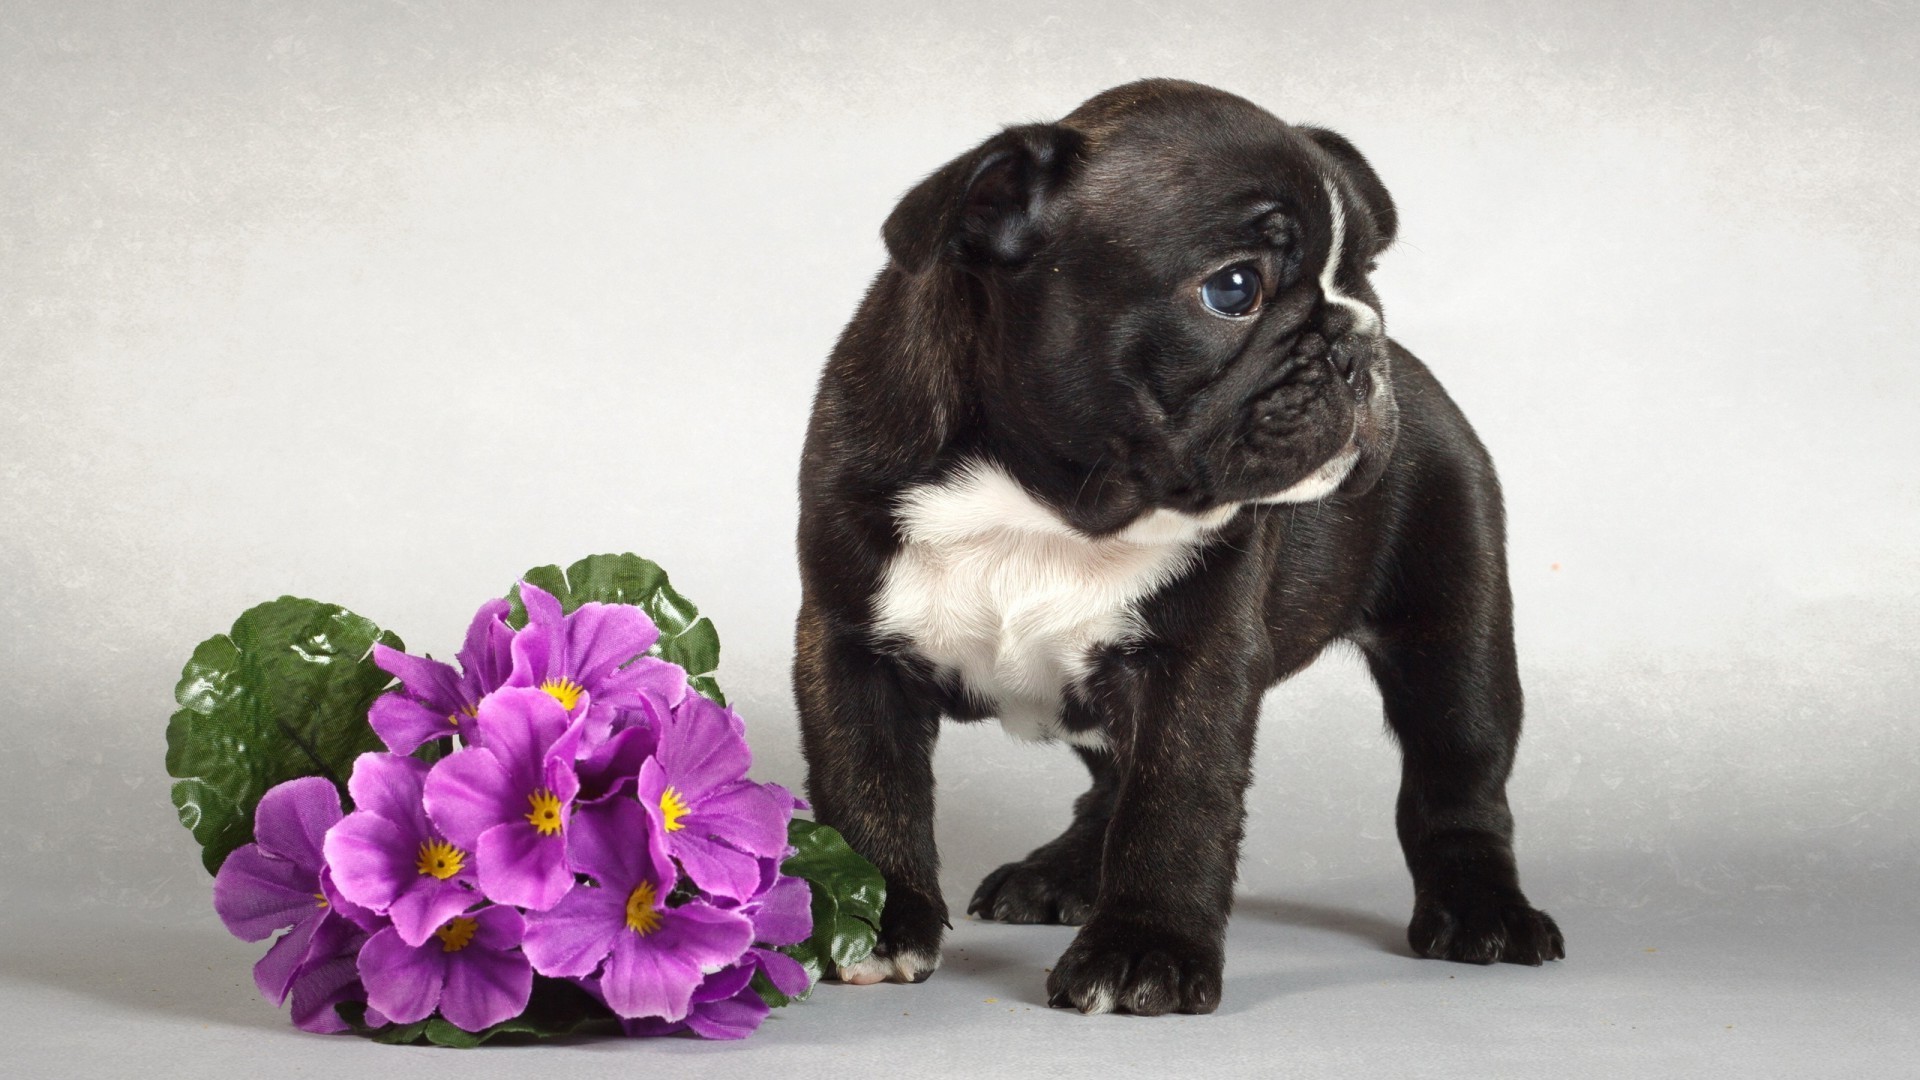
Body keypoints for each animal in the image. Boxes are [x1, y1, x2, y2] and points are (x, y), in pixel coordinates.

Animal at [791, 79, 1559, 1014]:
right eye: (1234, 288)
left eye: (1364, 276)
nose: (1358, 336)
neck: (1050, 506)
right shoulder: (850, 645)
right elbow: (867, 790)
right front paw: (872, 919)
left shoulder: (1195, 666)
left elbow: (1175, 806)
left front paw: (1142, 949)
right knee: (1108, 782)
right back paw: (1061, 874)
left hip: (1452, 628)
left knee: (1459, 775)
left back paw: (1483, 909)